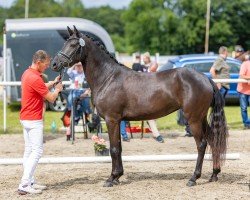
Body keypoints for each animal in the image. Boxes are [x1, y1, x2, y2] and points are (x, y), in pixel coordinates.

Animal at [52, 25, 229, 187]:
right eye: (65, 43)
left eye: (74, 45)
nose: (54, 64)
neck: (108, 77)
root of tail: (205, 78)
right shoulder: (118, 121)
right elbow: (119, 148)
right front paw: (118, 176)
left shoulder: (112, 120)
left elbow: (113, 149)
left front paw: (111, 178)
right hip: (201, 118)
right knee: (212, 140)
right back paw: (214, 174)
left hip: (193, 119)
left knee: (201, 144)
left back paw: (194, 178)